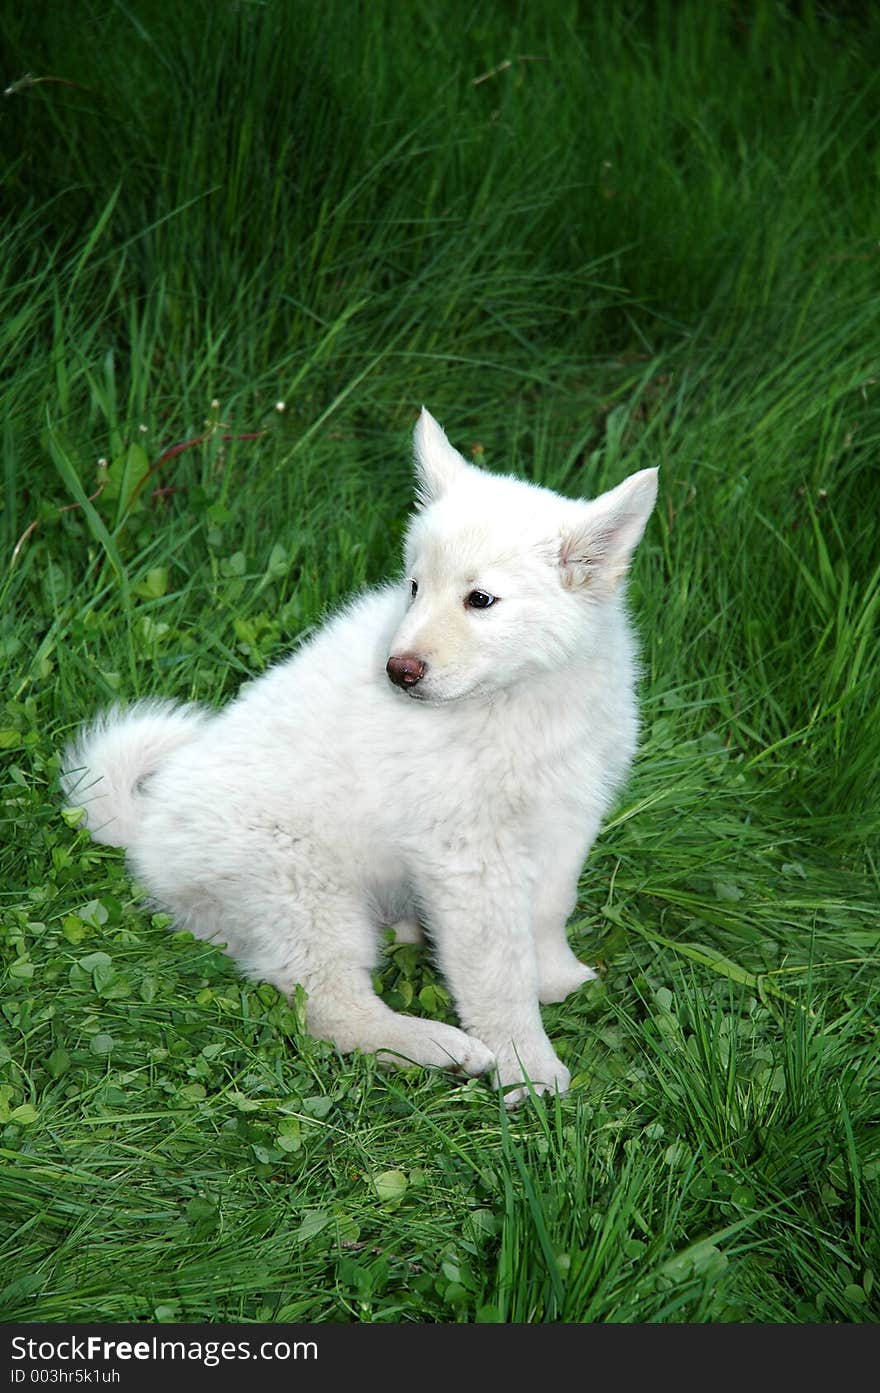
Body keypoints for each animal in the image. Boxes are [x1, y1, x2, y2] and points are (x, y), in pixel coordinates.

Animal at [65, 406, 657, 1103]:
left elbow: (547, 910)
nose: (398, 671)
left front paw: (558, 976)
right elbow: (495, 968)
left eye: (480, 600)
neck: (519, 697)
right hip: (303, 891)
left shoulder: (567, 814)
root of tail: (149, 829)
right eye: (414, 587)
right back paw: (438, 1048)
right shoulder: (469, 855)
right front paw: (527, 1065)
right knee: (329, 1006)